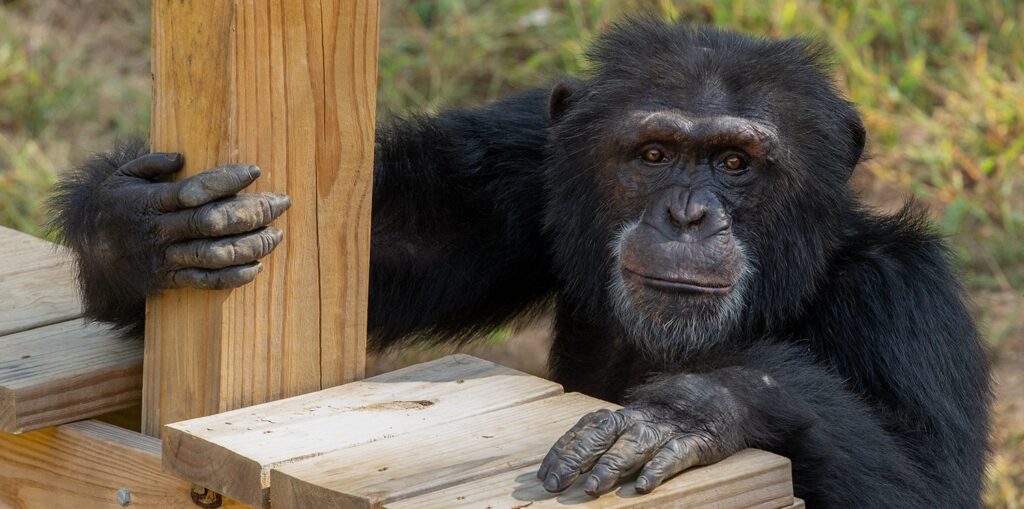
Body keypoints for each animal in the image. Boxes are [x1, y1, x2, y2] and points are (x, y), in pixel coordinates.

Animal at [46, 18, 983, 503]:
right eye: (652, 153)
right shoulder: (522, 167)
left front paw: (694, 409)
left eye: (736, 163)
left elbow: (925, 487)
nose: (687, 213)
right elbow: (381, 240)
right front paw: (136, 228)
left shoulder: (905, 306)